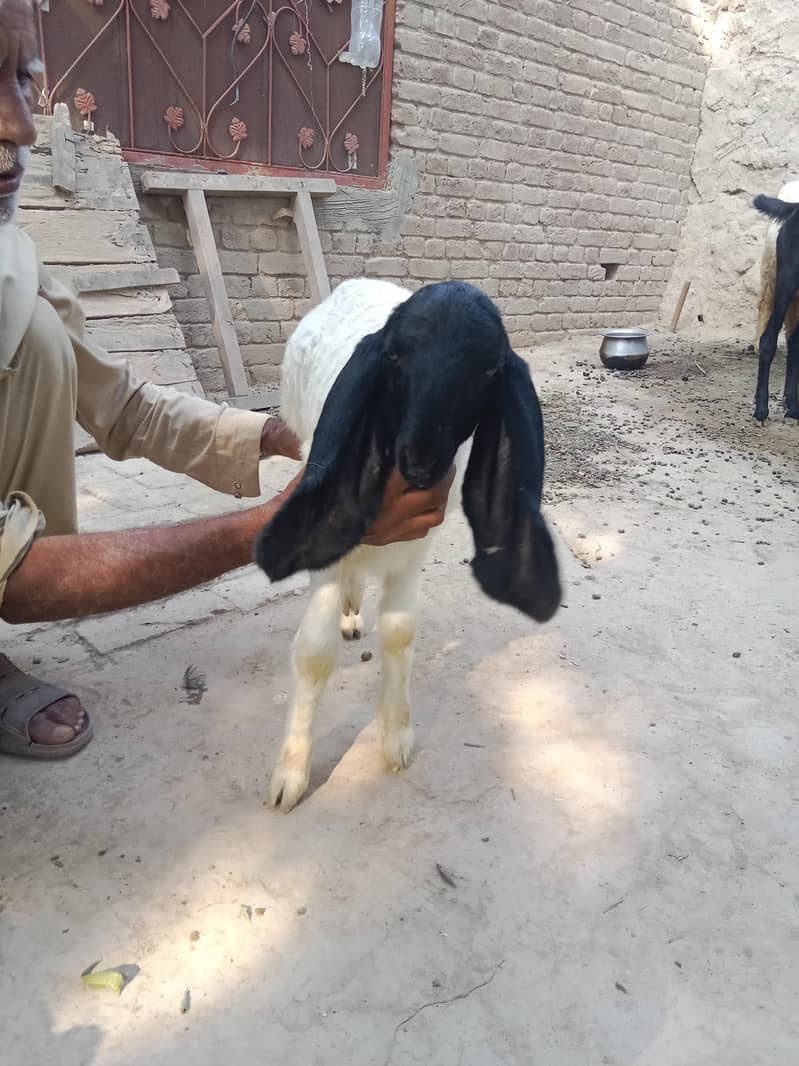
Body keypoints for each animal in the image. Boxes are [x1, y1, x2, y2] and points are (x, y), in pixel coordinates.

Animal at [255, 278, 562, 811]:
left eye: (490, 370)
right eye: (394, 356)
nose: (420, 461)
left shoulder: (413, 553)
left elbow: (399, 632)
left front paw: (395, 737)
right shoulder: (324, 557)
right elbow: (314, 653)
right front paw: (291, 773)